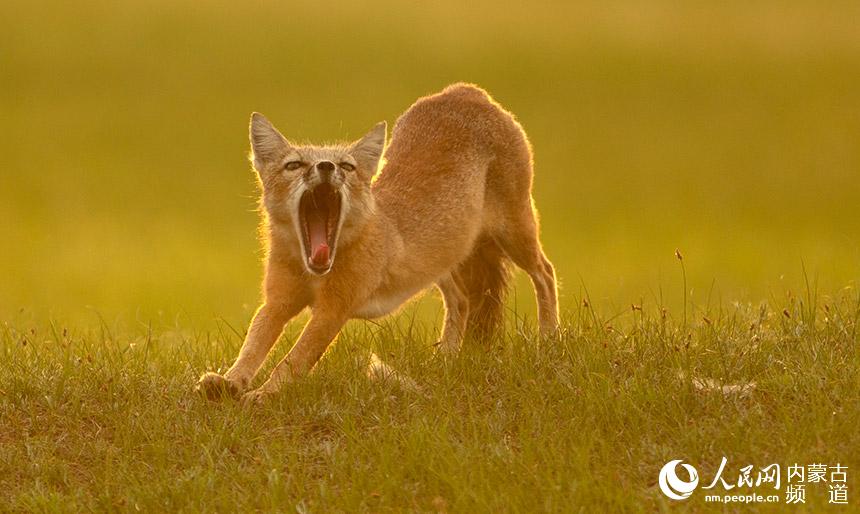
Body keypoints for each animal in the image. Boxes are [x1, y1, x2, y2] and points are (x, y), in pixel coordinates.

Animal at [195, 82, 556, 402]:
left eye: (346, 166)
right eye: (294, 165)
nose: (326, 166)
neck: (313, 269)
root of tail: (463, 90)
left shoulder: (332, 310)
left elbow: (292, 360)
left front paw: (264, 394)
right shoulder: (277, 303)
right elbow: (252, 348)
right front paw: (230, 381)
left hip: (514, 236)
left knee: (546, 273)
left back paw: (549, 342)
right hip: (442, 262)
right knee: (462, 300)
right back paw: (446, 361)